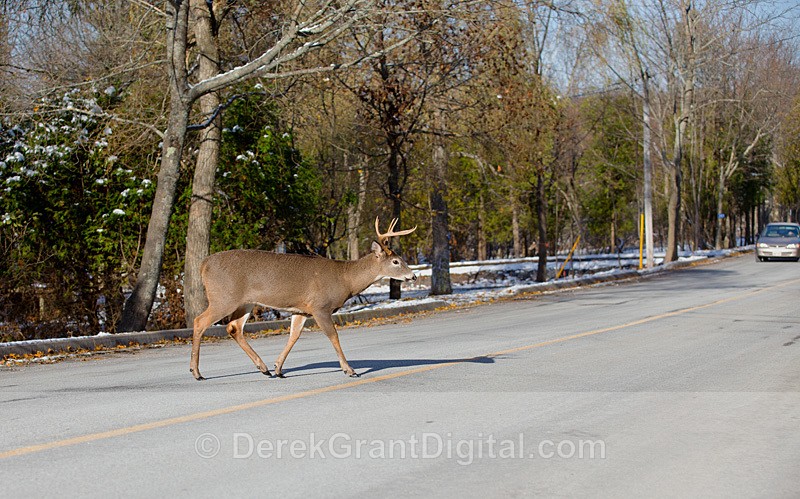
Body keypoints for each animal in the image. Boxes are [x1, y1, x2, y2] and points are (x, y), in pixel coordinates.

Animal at [189, 217, 417, 381]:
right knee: (200, 321)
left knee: (234, 327)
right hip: (223, 296)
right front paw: (350, 369)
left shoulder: (301, 310)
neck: (346, 279)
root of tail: (203, 265)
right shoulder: (320, 306)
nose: (413, 276)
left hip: (245, 302)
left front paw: (278, 368)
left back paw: (263, 368)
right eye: (396, 261)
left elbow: (294, 336)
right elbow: (333, 336)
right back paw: (197, 372)